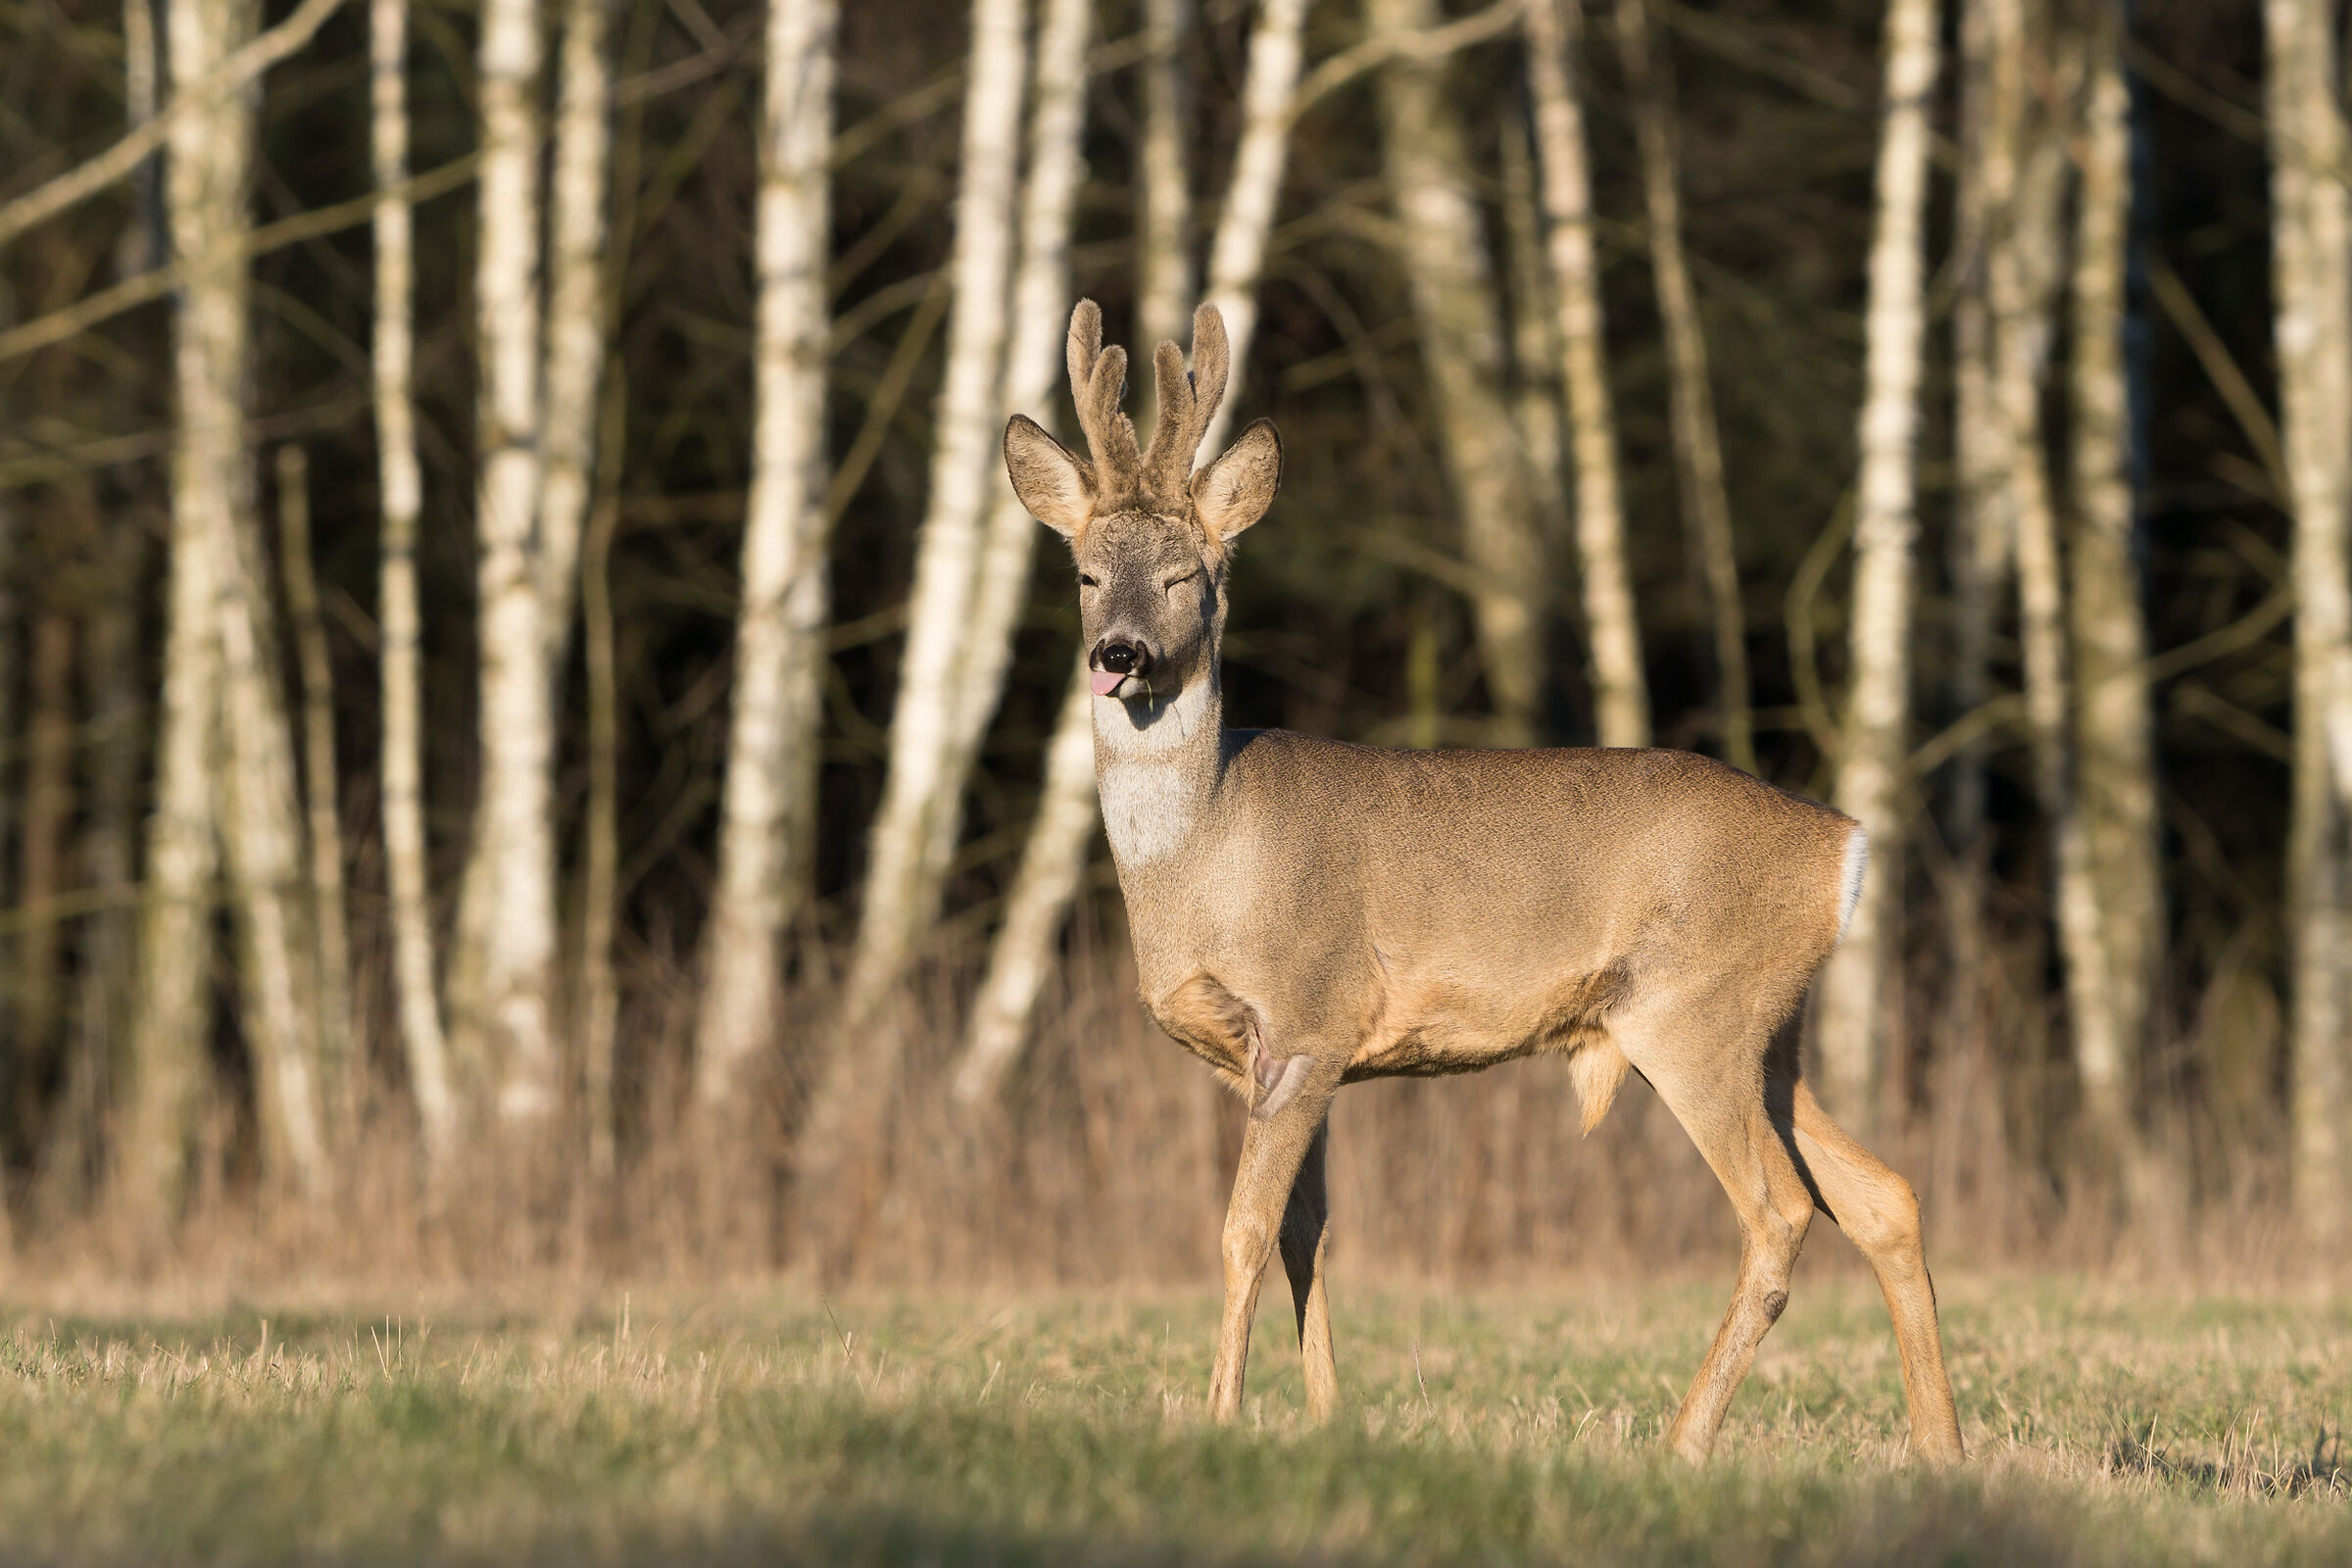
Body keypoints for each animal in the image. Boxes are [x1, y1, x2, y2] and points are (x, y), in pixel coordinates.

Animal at [1001, 298, 1965, 1465]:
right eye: (1086, 573)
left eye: (1192, 575)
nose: (1121, 652)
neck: (1205, 858)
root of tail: (1845, 847)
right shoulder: (1288, 1056)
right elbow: (1307, 1235)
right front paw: (1328, 1420)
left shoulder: (1309, 1013)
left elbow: (1242, 1230)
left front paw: (1221, 1419)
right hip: (1770, 1031)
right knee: (1883, 1194)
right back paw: (1943, 1447)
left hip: (1693, 1011)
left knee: (1781, 1211)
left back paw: (1682, 1445)